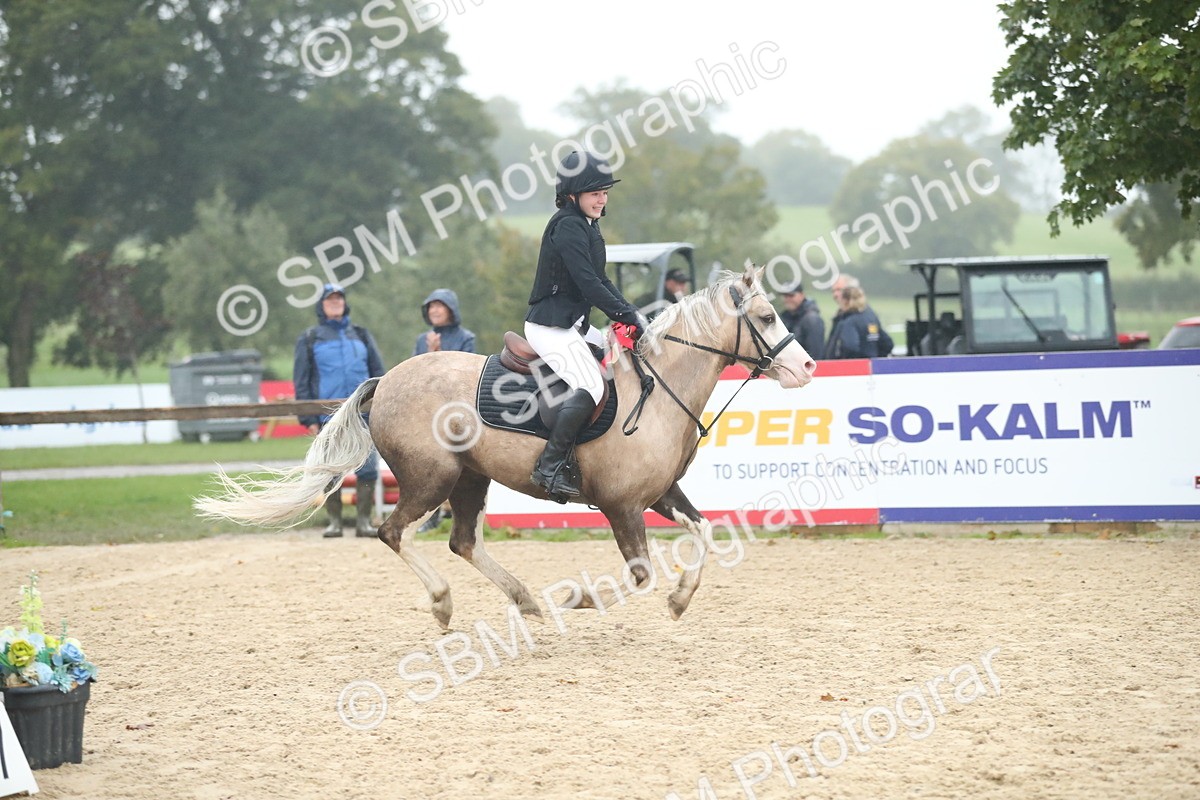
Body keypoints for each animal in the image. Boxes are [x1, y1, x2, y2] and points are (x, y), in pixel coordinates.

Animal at [195, 264, 816, 628]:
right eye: (766, 316)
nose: (808, 367)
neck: (658, 389)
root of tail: (387, 378)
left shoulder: (661, 495)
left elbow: (705, 533)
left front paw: (681, 598)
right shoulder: (621, 506)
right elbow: (640, 574)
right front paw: (580, 600)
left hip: (471, 478)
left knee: (463, 542)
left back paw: (524, 600)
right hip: (432, 479)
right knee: (394, 532)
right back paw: (445, 603)